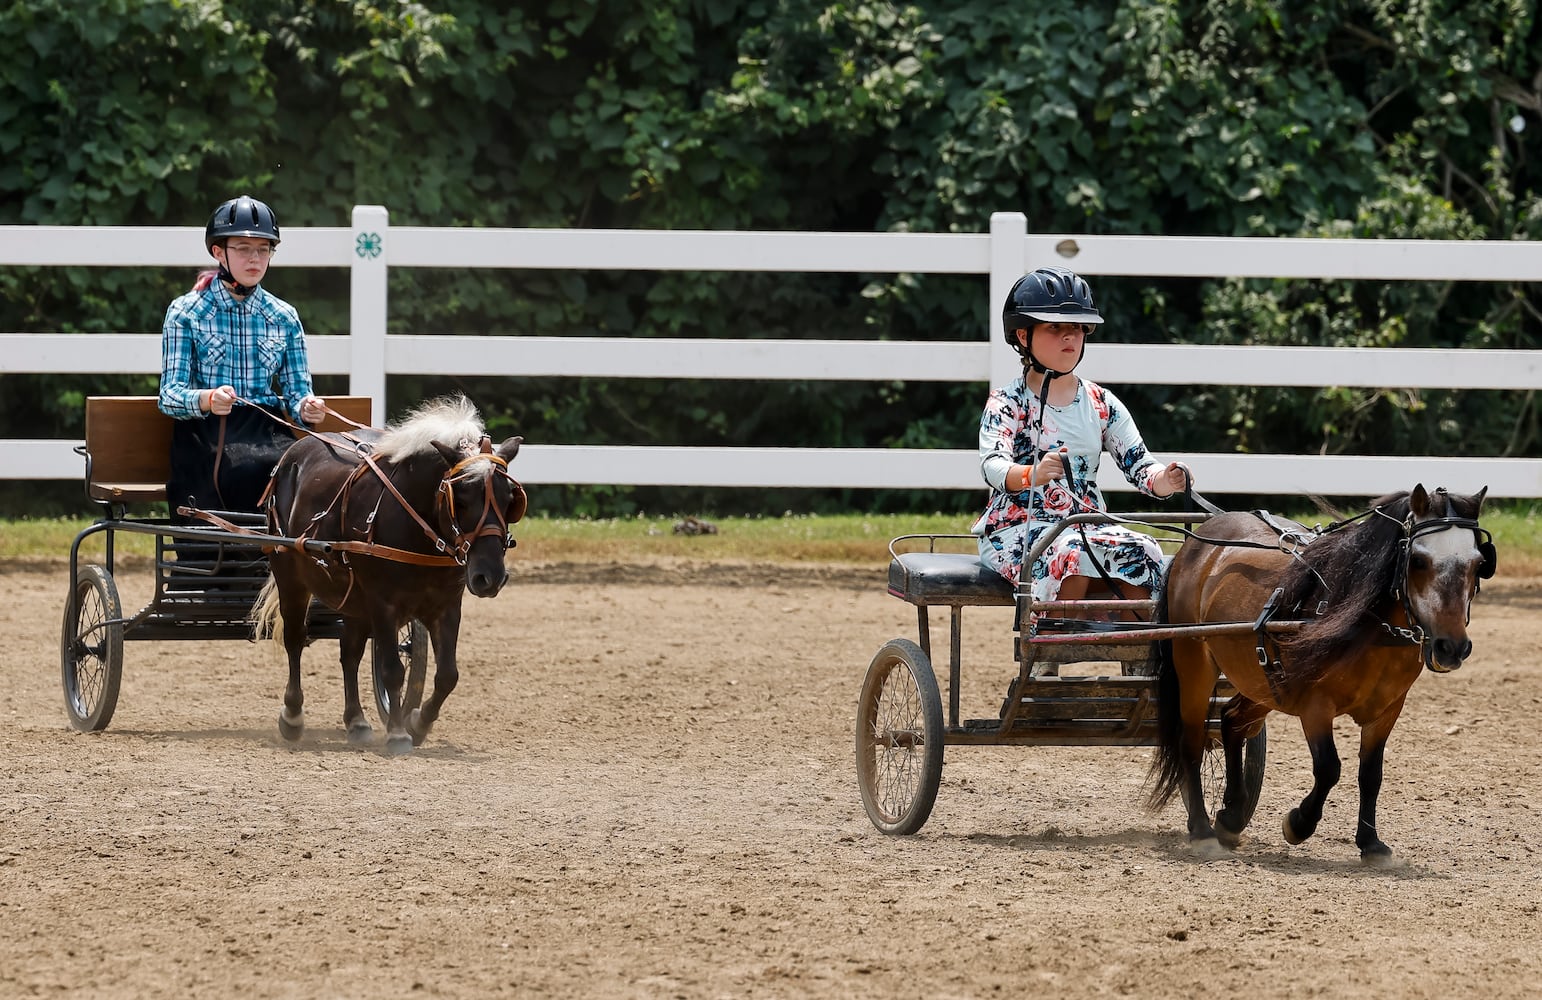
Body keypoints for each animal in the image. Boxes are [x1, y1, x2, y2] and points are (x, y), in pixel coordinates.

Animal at [248, 394, 524, 751]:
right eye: (460, 498)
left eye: (509, 499)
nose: (489, 576)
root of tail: (294, 454)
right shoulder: (383, 603)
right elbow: (392, 668)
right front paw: (397, 733)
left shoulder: (447, 605)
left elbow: (447, 675)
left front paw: (418, 722)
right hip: (290, 576)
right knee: (295, 639)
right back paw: (293, 716)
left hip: (353, 598)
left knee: (349, 652)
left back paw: (356, 720)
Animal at [1147, 483, 1492, 856]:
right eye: (1418, 560)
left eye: (1478, 564)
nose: (1451, 647)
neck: (1367, 625)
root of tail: (1197, 544)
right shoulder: (1315, 705)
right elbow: (1329, 768)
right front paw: (1298, 823)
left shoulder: (1388, 710)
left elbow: (1371, 773)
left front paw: (1370, 843)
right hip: (1193, 664)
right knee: (1191, 742)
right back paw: (1202, 829)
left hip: (1264, 683)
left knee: (1232, 722)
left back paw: (1231, 816)